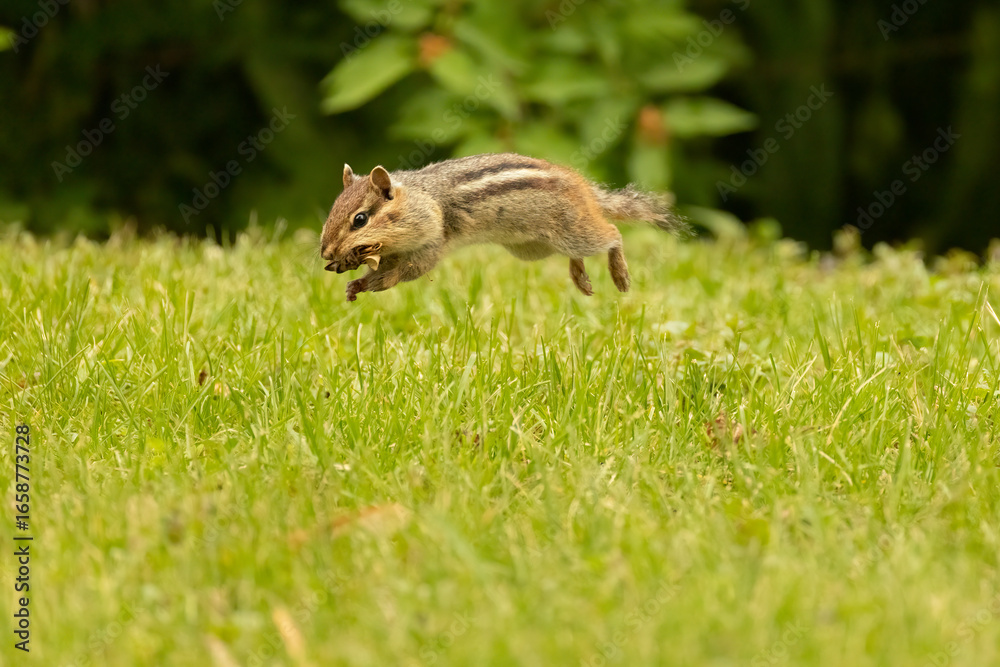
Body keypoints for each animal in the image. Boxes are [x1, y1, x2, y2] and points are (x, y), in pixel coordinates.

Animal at [320, 153, 686, 302]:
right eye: (332, 211)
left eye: (360, 219)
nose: (325, 253)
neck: (422, 200)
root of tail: (585, 188)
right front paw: (354, 286)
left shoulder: (430, 243)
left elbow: (402, 274)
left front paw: (368, 283)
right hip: (535, 247)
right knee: (575, 254)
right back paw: (580, 277)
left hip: (573, 232)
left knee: (611, 234)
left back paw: (620, 275)